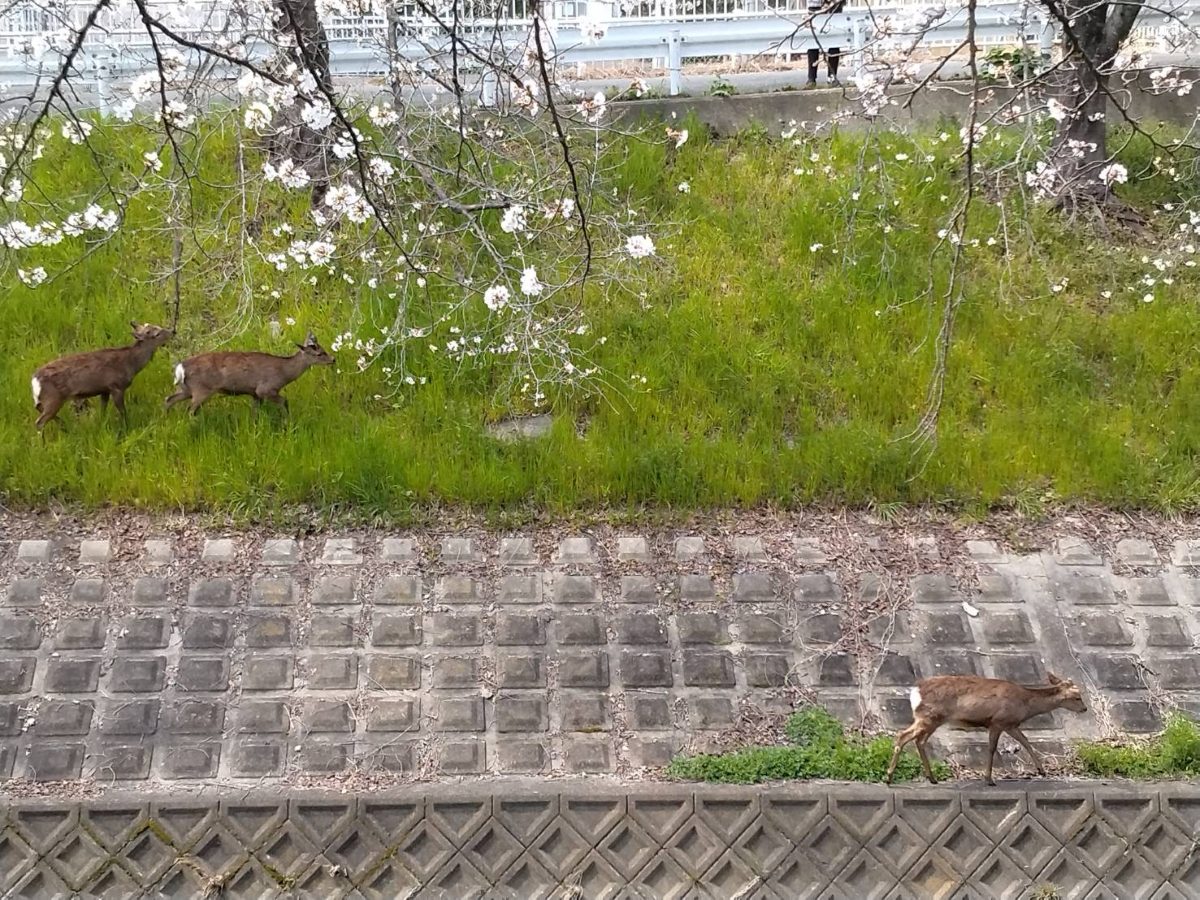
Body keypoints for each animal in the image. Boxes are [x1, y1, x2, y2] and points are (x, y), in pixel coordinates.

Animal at [31, 322, 174, 433]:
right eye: (156, 334)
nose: (173, 331)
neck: (130, 364)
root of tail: (34, 380)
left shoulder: (104, 389)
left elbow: (103, 410)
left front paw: (102, 425)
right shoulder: (116, 386)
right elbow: (122, 411)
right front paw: (126, 427)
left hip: (44, 399)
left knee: (39, 410)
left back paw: (65, 426)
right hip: (53, 398)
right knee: (39, 422)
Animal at [164, 331, 334, 415]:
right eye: (319, 353)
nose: (333, 359)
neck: (284, 373)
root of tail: (180, 367)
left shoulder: (255, 393)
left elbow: (255, 412)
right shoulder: (265, 388)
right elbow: (284, 401)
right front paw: (287, 423)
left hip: (186, 389)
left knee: (169, 399)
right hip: (201, 389)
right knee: (189, 409)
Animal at [885, 673, 1088, 786]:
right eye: (1077, 697)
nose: (1085, 709)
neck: (1025, 704)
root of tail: (914, 691)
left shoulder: (1011, 724)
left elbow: (1026, 742)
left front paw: (1042, 771)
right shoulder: (998, 721)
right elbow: (991, 749)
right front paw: (989, 780)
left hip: (931, 719)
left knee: (919, 740)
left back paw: (932, 778)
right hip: (929, 716)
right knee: (902, 736)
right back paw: (889, 777)